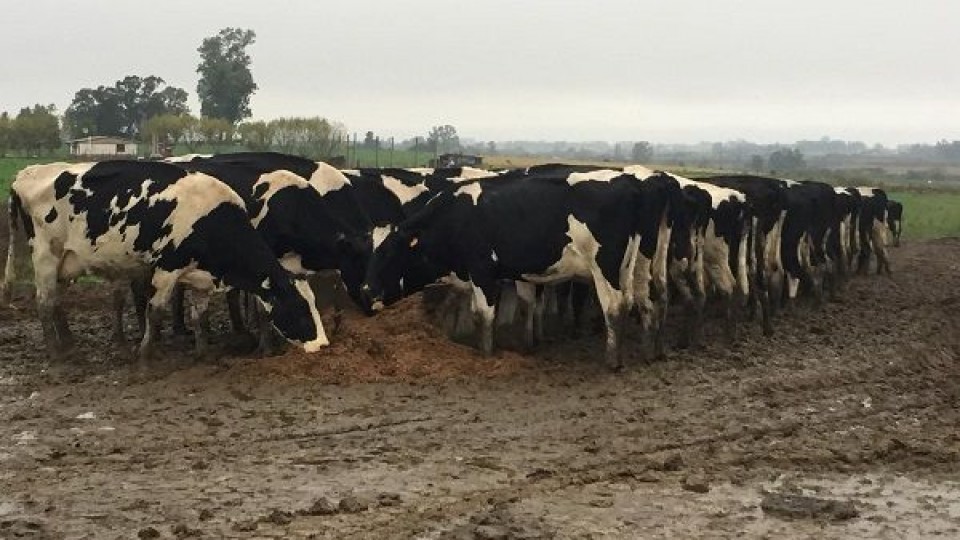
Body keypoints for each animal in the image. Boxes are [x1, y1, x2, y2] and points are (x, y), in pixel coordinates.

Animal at [1, 162, 328, 360]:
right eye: (300, 307)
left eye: (314, 303)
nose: (323, 344)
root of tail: (27, 173)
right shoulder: (167, 269)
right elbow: (155, 312)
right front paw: (145, 358)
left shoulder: (201, 275)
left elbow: (200, 315)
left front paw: (202, 353)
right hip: (45, 255)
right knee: (44, 302)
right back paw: (57, 357)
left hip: (65, 261)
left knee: (56, 300)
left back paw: (69, 345)